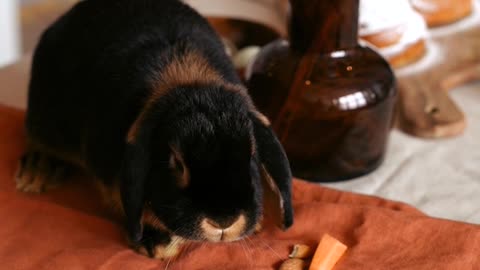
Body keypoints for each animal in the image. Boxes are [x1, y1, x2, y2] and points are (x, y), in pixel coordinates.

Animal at [16, 0, 294, 260]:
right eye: (177, 163)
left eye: (251, 156)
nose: (223, 221)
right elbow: (121, 199)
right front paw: (156, 244)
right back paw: (36, 173)